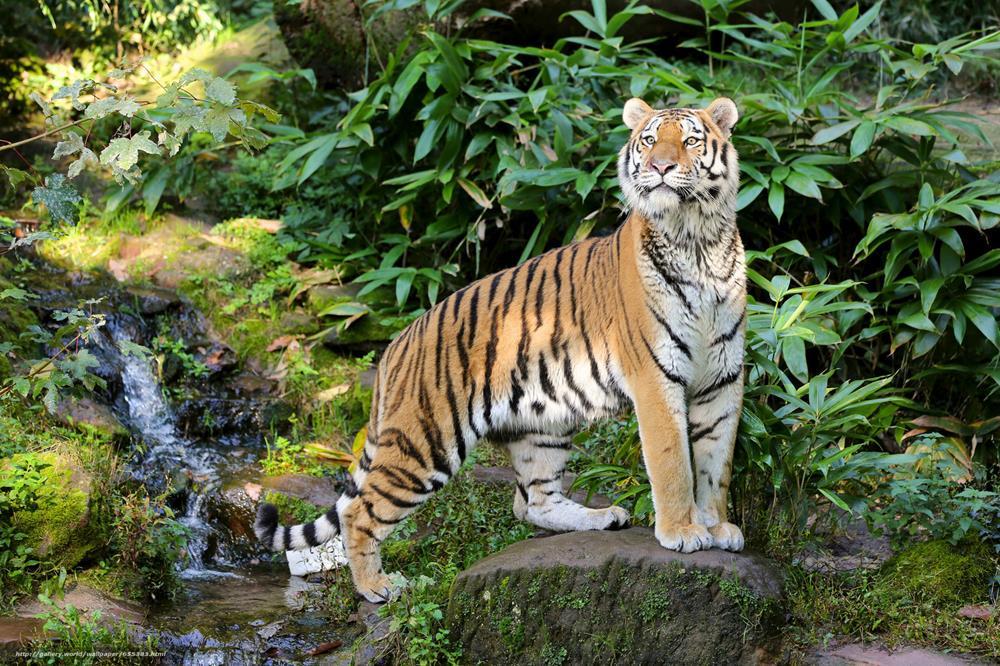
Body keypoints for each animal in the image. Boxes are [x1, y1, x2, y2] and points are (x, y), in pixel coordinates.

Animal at [255, 96, 747, 603]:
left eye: (690, 141)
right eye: (649, 141)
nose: (660, 167)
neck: (697, 240)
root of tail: (397, 345)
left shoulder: (723, 379)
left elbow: (716, 462)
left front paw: (717, 526)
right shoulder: (656, 378)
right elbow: (674, 463)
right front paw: (683, 531)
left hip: (544, 426)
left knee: (531, 502)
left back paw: (600, 517)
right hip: (426, 441)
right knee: (362, 510)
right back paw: (378, 586)